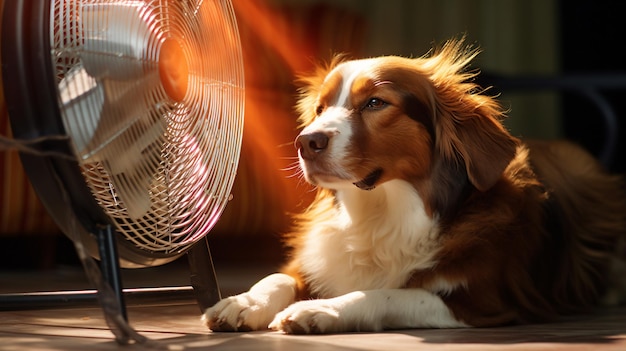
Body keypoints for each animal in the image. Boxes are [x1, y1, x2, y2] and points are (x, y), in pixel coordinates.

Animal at [202, 39, 620, 336]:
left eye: (375, 103)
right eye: (320, 109)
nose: (306, 142)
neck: (381, 212)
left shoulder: (478, 300)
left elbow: (386, 292)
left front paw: (320, 309)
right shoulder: (314, 263)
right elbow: (276, 277)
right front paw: (243, 302)